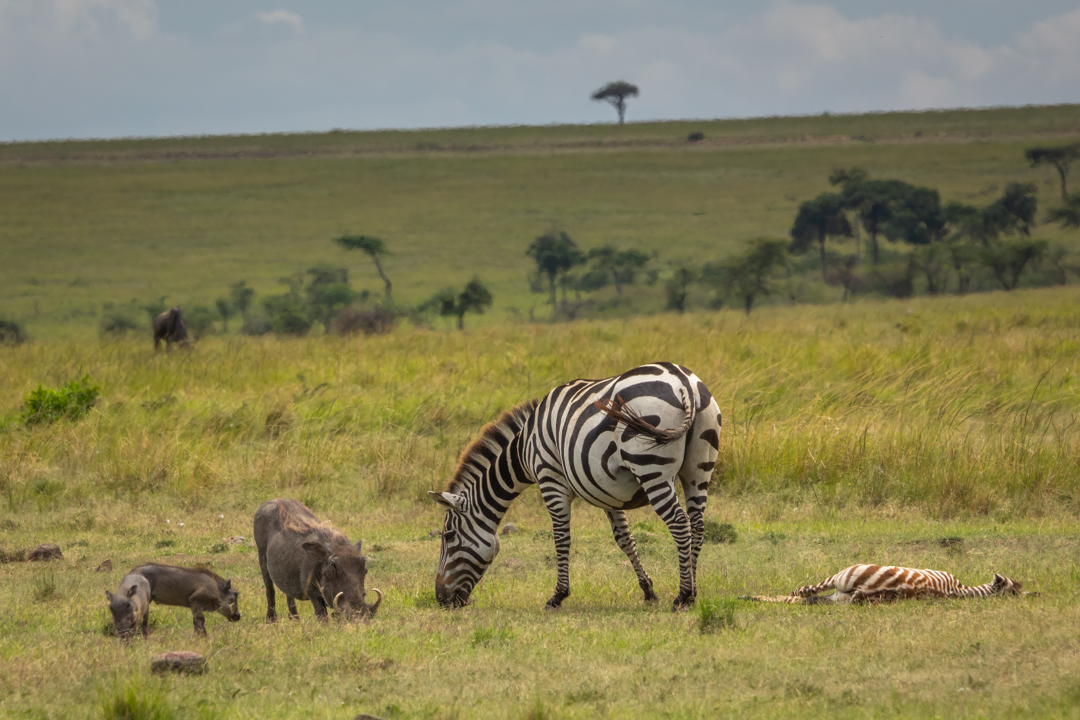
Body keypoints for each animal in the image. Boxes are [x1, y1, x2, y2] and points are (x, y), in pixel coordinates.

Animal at [425, 362, 721, 613]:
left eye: (448, 536)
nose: (441, 600)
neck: (525, 448)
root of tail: (683, 381)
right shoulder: (606, 492)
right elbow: (625, 539)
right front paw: (648, 590)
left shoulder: (550, 479)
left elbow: (561, 538)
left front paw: (558, 596)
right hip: (699, 468)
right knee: (697, 525)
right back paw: (694, 590)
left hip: (651, 468)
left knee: (679, 523)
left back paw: (683, 595)